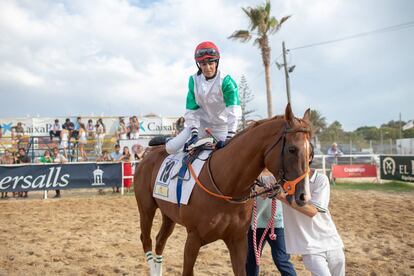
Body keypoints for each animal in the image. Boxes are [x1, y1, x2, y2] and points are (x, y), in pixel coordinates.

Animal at [134, 104, 312, 276]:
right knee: (146, 240)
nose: (303, 196)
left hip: (169, 215)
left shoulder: (238, 240)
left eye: (311, 153)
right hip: (146, 209)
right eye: (292, 149)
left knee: (160, 241)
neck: (227, 186)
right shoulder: (193, 239)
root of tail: (148, 155)